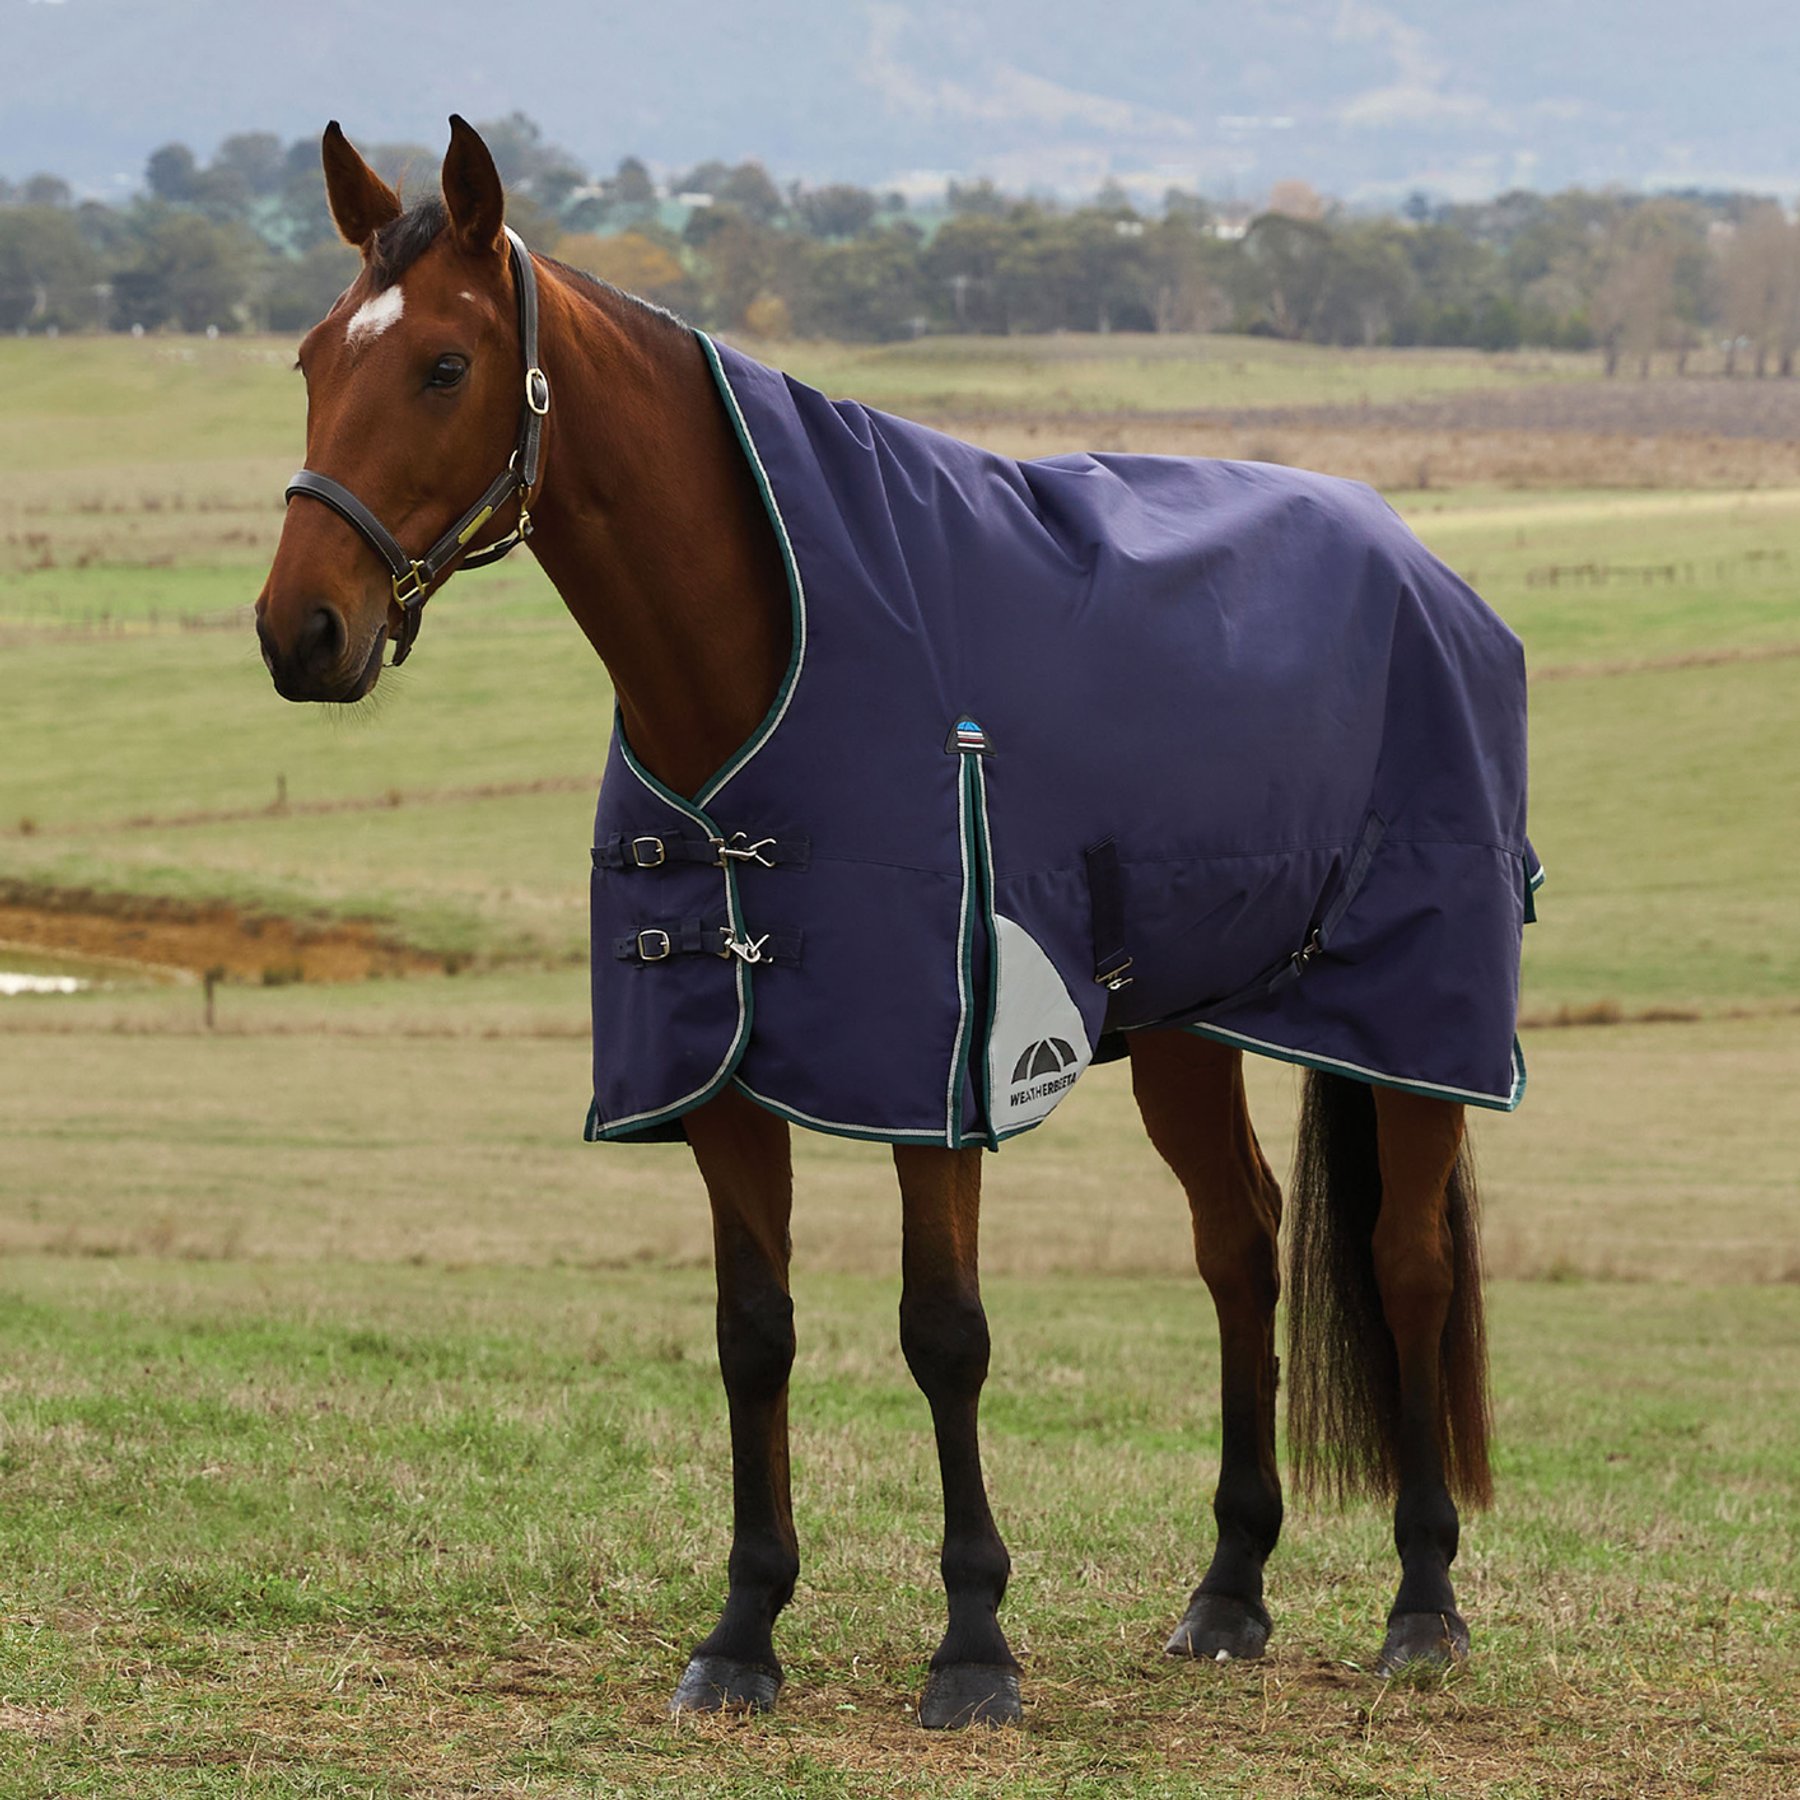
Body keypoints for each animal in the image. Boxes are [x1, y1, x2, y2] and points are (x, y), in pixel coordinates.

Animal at [255, 116, 1523, 1730]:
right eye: (310, 359)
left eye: (441, 366)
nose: (300, 632)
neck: (771, 656)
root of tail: (1422, 567)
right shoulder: (723, 1076)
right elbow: (753, 1334)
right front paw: (743, 1630)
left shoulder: (943, 1074)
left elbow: (945, 1335)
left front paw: (974, 1645)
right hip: (1187, 1025)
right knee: (1240, 1244)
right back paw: (1230, 1589)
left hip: (1413, 1019)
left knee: (1407, 1263)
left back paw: (1424, 1605)